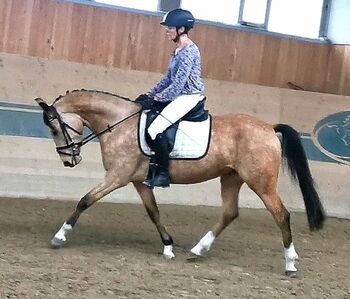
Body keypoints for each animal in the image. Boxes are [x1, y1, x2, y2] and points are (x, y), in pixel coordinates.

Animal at [34, 90, 324, 278]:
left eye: (55, 128)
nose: (69, 161)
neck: (119, 123)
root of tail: (269, 128)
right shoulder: (139, 181)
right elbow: (153, 212)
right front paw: (168, 247)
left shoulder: (118, 176)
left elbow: (85, 200)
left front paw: (60, 236)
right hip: (231, 177)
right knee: (230, 213)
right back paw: (197, 250)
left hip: (261, 182)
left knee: (281, 214)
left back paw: (290, 264)